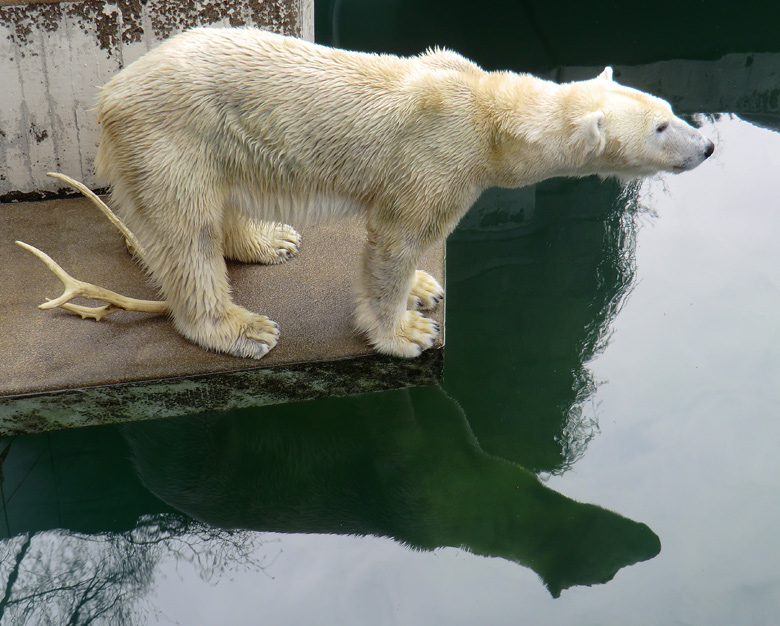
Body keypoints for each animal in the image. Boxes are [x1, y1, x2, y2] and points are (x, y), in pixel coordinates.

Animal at [94, 28, 716, 356]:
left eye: (668, 109)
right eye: (662, 128)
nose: (708, 145)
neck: (489, 115)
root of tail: (109, 93)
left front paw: (422, 288)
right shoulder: (438, 157)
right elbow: (397, 239)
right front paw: (406, 330)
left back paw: (271, 241)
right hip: (172, 137)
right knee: (186, 234)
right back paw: (240, 326)